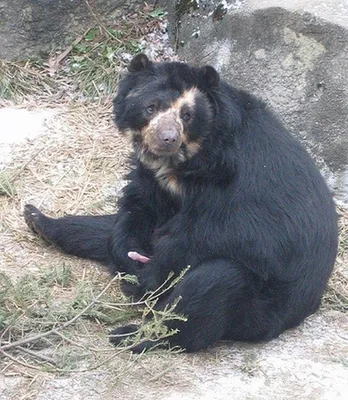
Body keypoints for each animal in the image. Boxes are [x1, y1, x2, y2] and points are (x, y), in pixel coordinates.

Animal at [23, 54, 338, 354]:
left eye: (187, 115)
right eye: (150, 107)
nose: (167, 138)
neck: (189, 160)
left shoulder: (238, 187)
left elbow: (220, 237)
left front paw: (148, 278)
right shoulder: (157, 183)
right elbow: (140, 205)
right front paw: (128, 256)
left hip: (261, 310)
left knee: (212, 285)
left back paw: (135, 335)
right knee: (105, 229)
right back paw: (38, 219)